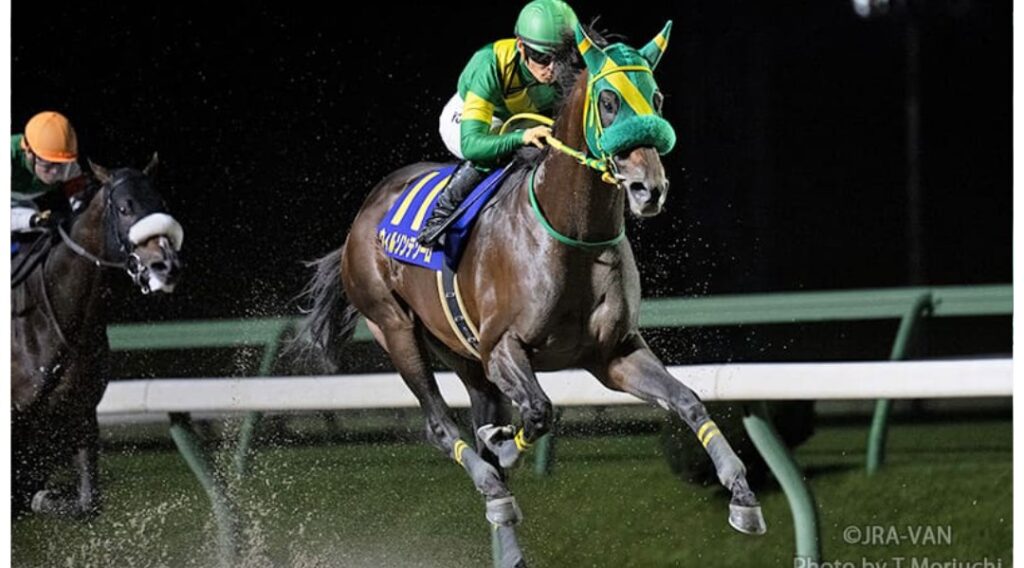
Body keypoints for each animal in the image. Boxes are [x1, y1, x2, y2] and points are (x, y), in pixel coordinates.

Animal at [11, 154, 184, 518]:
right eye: (124, 207)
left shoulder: (80, 414)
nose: (167, 266)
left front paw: (42, 497)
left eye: (161, 204)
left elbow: (87, 503)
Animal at [299, 22, 765, 567]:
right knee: (440, 425)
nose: (649, 189)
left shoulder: (613, 354)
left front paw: (741, 493)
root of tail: (364, 215)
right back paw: (490, 478)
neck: (572, 237)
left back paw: (503, 525)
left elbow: (688, 401)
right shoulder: (504, 348)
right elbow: (540, 411)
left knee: (480, 416)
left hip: (463, 354)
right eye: (608, 100)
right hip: (394, 326)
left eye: (657, 97)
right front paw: (505, 445)